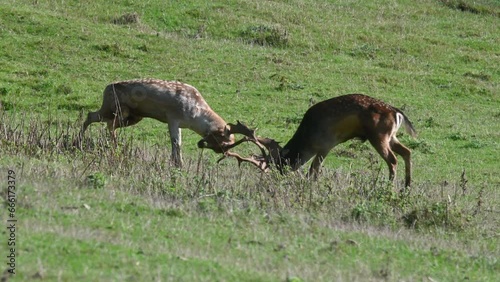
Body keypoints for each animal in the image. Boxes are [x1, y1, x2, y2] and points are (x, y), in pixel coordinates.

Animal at [224, 94, 418, 187]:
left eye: (282, 165)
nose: (278, 179)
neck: (308, 138)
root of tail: (397, 113)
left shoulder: (326, 144)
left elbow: (313, 169)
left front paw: (311, 185)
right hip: (391, 136)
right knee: (407, 152)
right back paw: (406, 187)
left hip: (379, 135)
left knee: (393, 160)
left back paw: (389, 186)